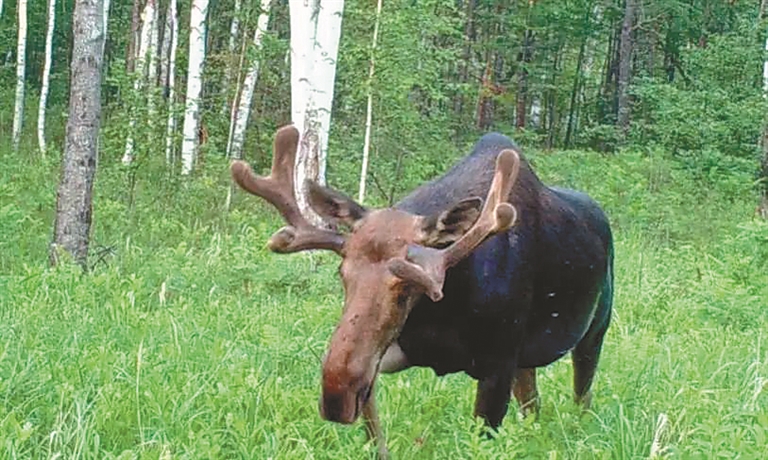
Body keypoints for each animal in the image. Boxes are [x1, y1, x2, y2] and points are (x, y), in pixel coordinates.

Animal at [231, 125, 616, 456]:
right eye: (344, 274)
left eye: (407, 286)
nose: (337, 394)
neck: (445, 312)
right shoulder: (385, 357)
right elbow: (376, 441)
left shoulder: (499, 362)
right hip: (527, 361)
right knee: (532, 404)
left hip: (595, 329)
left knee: (582, 397)